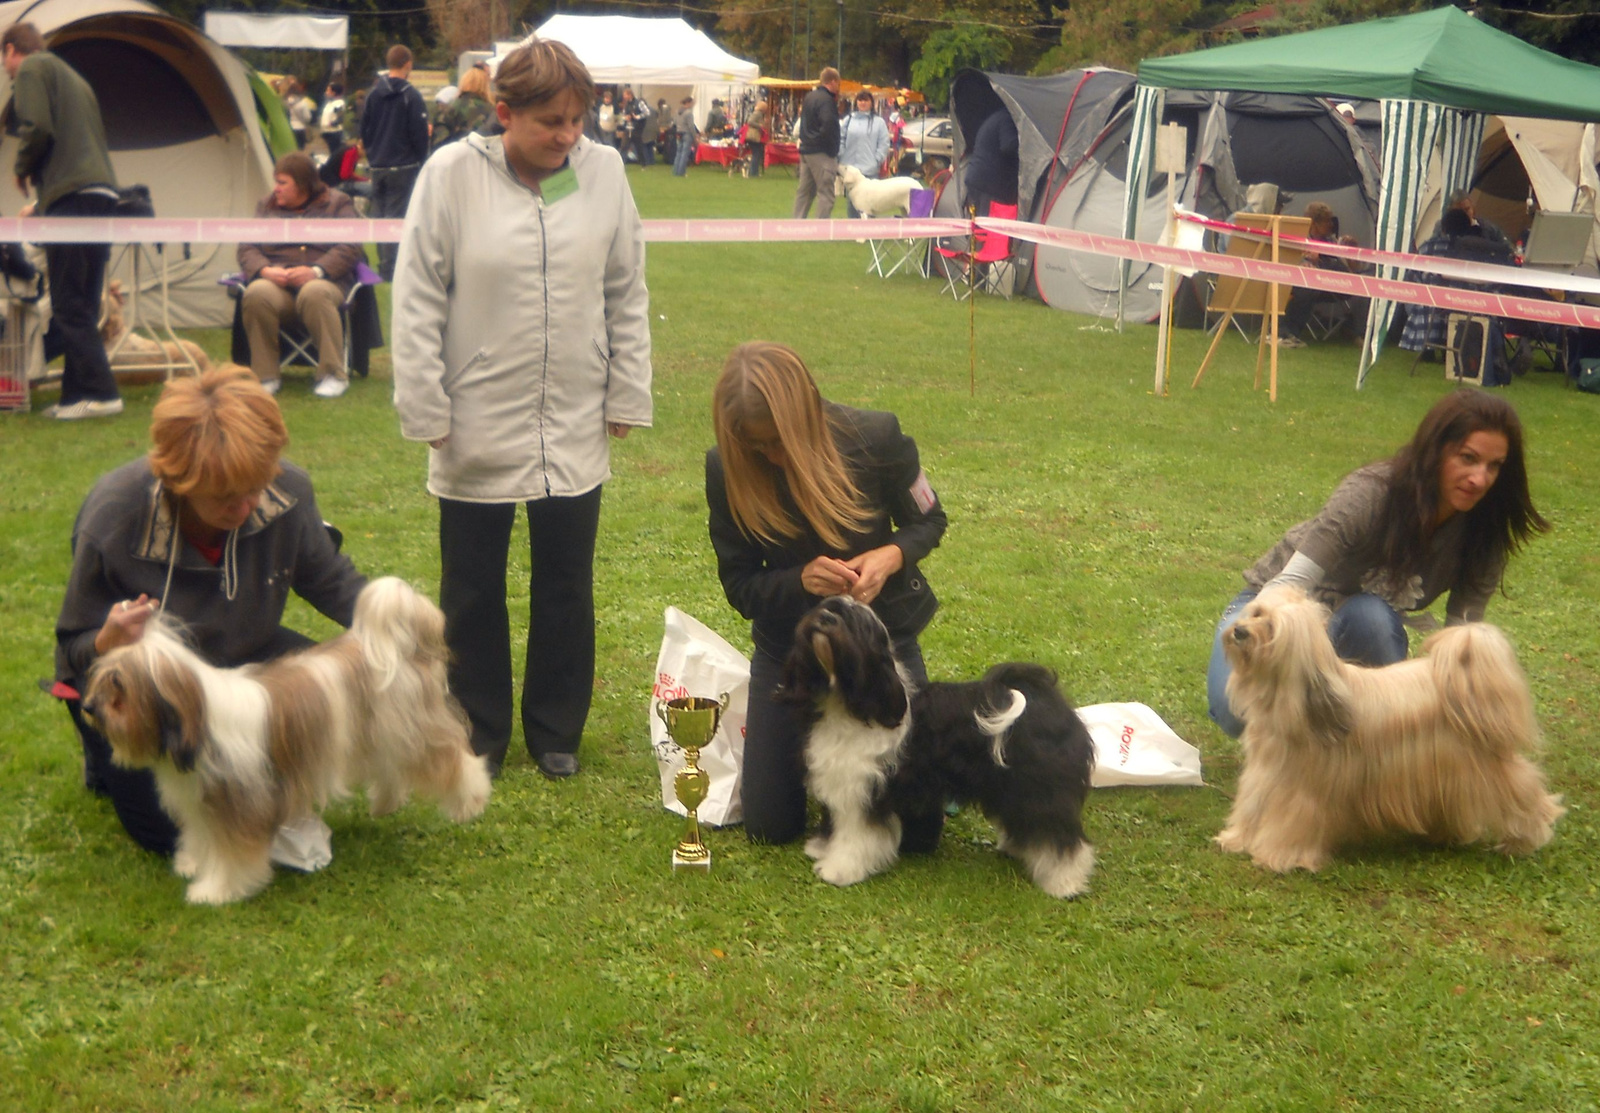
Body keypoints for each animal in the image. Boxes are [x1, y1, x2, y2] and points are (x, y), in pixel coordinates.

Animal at [81, 578, 489, 908]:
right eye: (101, 677)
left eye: (119, 686)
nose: (88, 707)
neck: (198, 723)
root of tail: (396, 645)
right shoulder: (199, 802)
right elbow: (200, 836)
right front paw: (192, 863)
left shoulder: (238, 807)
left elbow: (233, 857)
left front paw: (214, 891)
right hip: (379, 734)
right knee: (392, 771)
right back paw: (384, 803)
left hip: (414, 732)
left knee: (455, 758)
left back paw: (470, 802)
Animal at [777, 594, 1100, 901]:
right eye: (827, 608)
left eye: (853, 624)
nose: (826, 619)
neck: (854, 706)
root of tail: (1046, 700)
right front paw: (822, 848)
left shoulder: (864, 791)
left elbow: (856, 836)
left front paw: (840, 869)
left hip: (1041, 789)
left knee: (1058, 835)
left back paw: (1064, 882)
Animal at [1222, 588, 1561, 876]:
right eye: (1257, 612)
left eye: (1270, 628)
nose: (1239, 631)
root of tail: (1461, 680)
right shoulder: (1264, 774)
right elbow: (1253, 806)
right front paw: (1238, 838)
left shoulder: (1302, 791)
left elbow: (1292, 821)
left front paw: (1280, 856)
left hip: (1482, 770)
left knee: (1522, 793)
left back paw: (1524, 838)